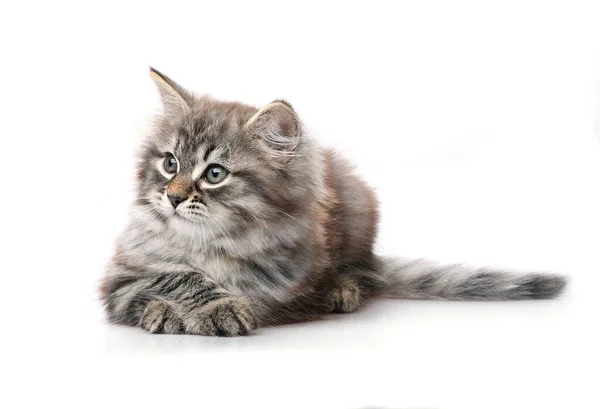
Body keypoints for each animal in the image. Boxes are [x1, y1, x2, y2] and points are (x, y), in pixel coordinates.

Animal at [99, 67, 568, 334]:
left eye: (215, 174)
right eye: (170, 163)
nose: (173, 197)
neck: (206, 244)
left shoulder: (284, 288)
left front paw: (217, 307)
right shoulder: (120, 278)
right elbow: (174, 277)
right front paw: (174, 312)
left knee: (361, 271)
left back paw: (343, 288)